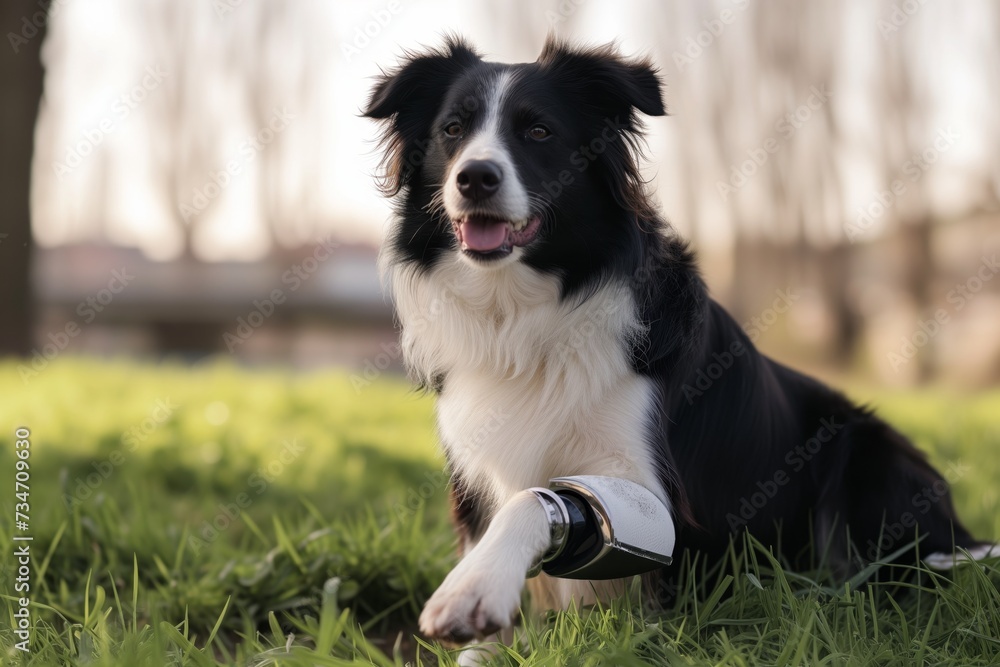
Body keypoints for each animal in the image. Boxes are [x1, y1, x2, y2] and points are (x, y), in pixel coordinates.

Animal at [364, 35, 988, 652]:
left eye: (538, 131)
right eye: (453, 129)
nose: (474, 177)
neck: (524, 310)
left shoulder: (656, 499)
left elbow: (536, 500)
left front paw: (470, 592)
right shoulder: (474, 479)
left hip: (867, 452)